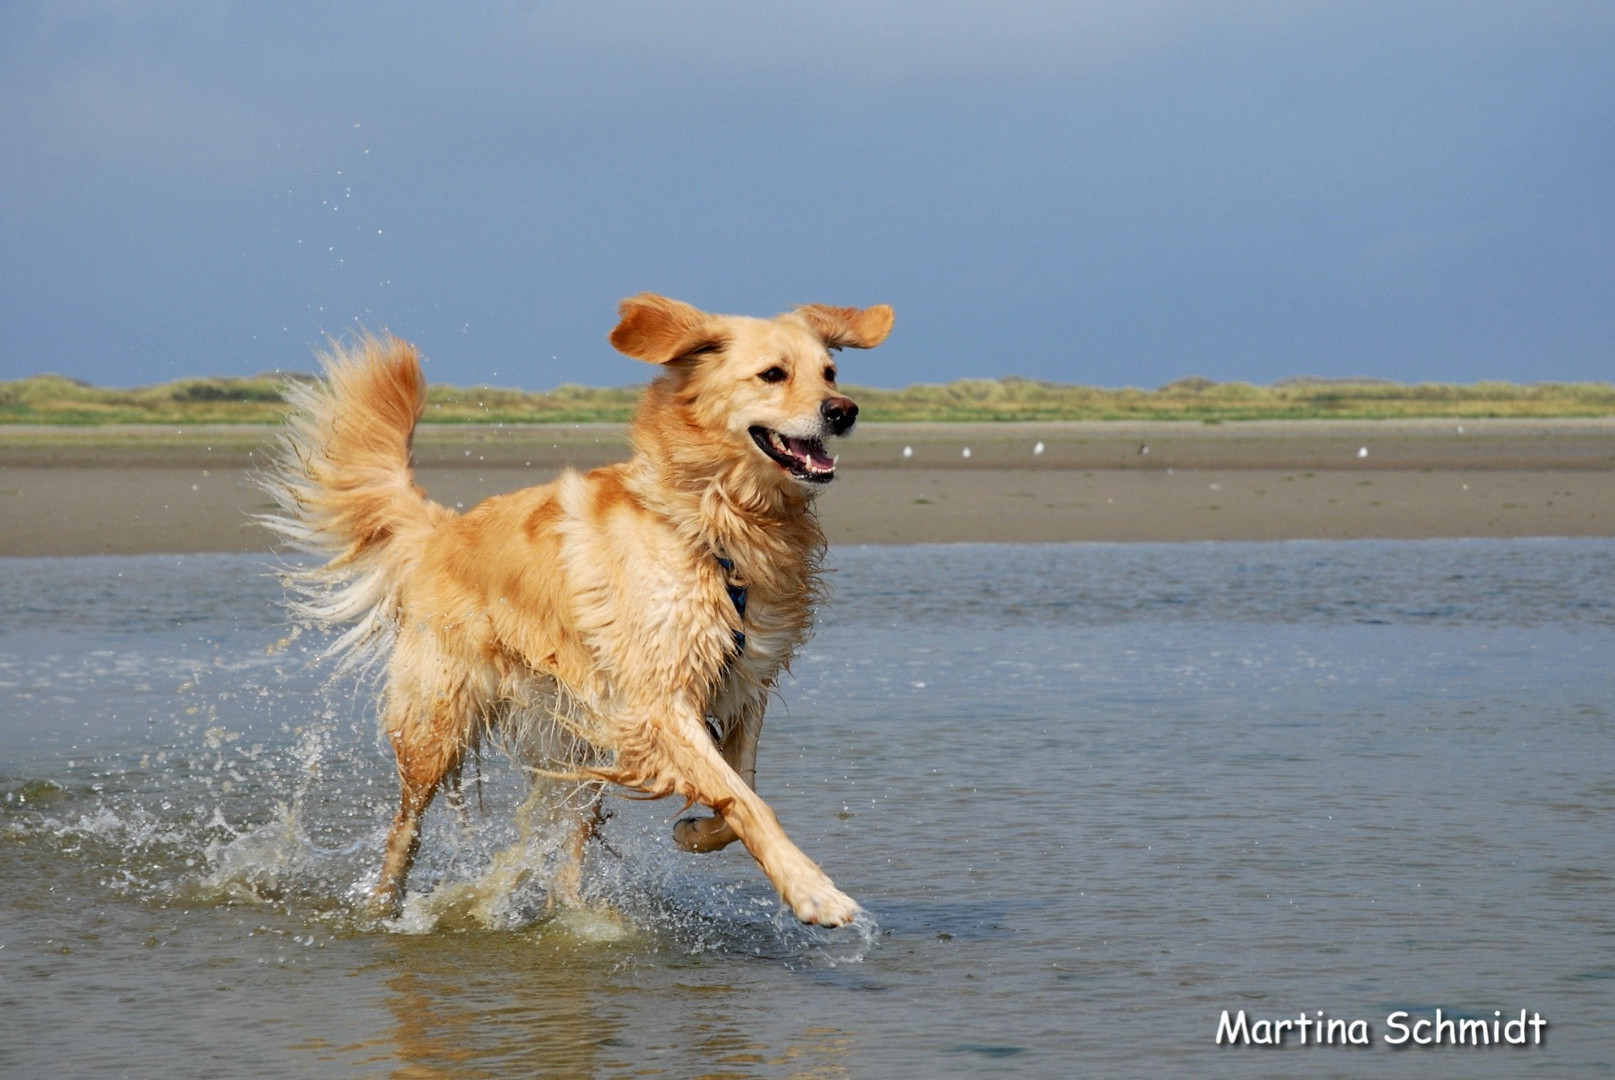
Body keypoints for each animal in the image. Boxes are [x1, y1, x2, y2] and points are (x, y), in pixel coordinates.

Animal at [264, 297, 897, 929]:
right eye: (772, 374)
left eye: (830, 373)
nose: (844, 411)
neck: (712, 520)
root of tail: (442, 528)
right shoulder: (659, 701)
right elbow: (747, 800)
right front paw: (813, 891)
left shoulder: (744, 682)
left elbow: (740, 787)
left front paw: (696, 831)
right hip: (437, 723)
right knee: (406, 826)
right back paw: (385, 907)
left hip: (580, 736)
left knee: (567, 842)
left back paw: (565, 913)